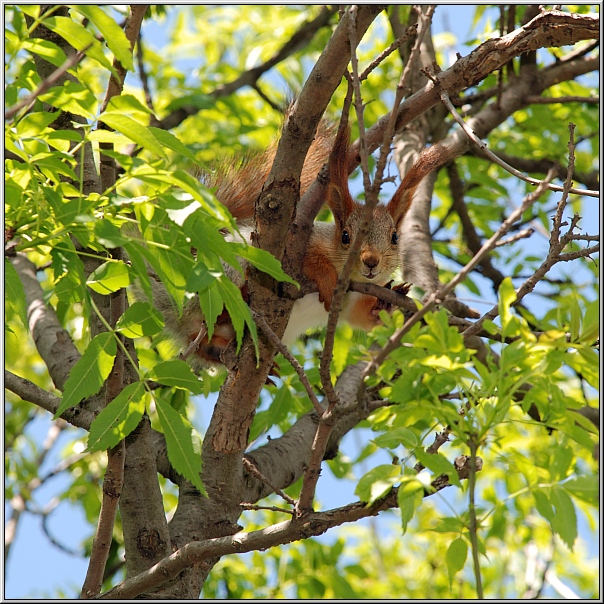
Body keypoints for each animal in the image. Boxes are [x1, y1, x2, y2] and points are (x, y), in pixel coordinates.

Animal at [153, 115, 450, 366]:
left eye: (395, 237)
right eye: (345, 236)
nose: (370, 261)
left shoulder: (353, 302)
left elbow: (363, 316)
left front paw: (386, 303)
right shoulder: (300, 243)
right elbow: (310, 261)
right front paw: (327, 278)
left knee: (203, 344)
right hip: (223, 271)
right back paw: (243, 294)